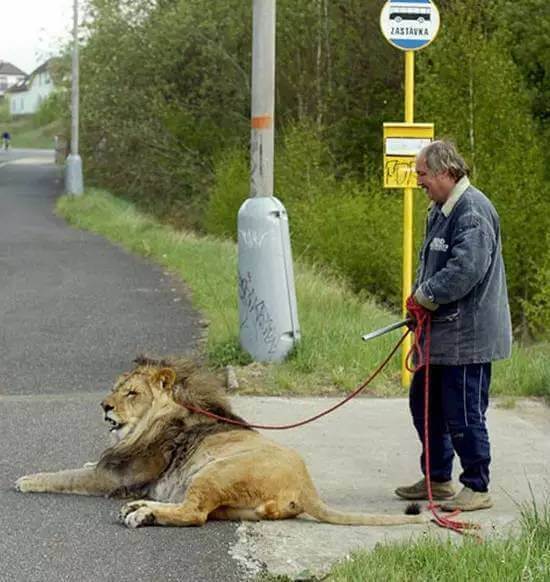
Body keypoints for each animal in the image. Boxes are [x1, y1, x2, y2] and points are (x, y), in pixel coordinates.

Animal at [16, 356, 432, 528]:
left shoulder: (115, 477)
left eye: (131, 393)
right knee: (196, 510)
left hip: (215, 472)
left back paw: (140, 514)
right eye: (115, 388)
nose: (104, 405)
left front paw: (26, 479)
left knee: (194, 515)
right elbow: (83, 465)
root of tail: (306, 486)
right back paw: (141, 508)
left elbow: (65, 475)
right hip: (233, 503)